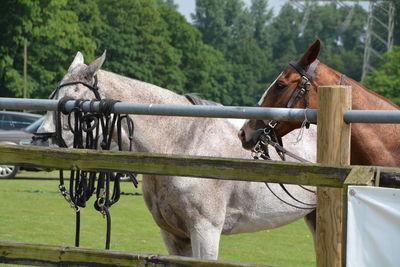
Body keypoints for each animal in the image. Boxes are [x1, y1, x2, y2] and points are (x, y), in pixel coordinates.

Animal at [38, 52, 318, 262]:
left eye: (74, 102)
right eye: (54, 98)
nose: (42, 140)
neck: (184, 143)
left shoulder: (205, 231)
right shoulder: (173, 235)